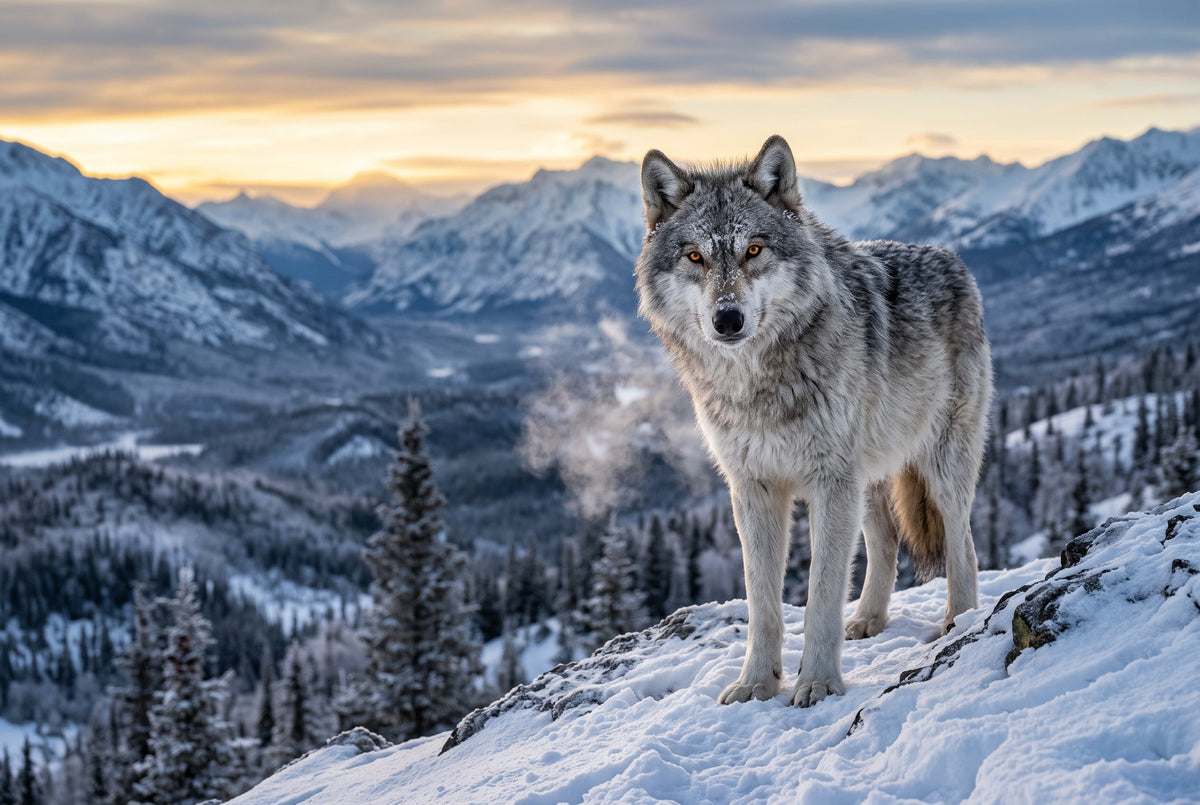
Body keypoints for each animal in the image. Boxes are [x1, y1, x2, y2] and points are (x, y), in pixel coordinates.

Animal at [634, 136, 992, 707]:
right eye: (695, 256)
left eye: (754, 250)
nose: (727, 319)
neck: (757, 385)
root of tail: (951, 257)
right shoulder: (753, 489)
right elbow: (763, 604)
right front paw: (756, 683)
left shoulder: (830, 483)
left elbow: (822, 593)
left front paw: (818, 683)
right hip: (868, 479)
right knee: (887, 542)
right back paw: (867, 620)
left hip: (939, 467)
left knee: (964, 545)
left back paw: (957, 621)